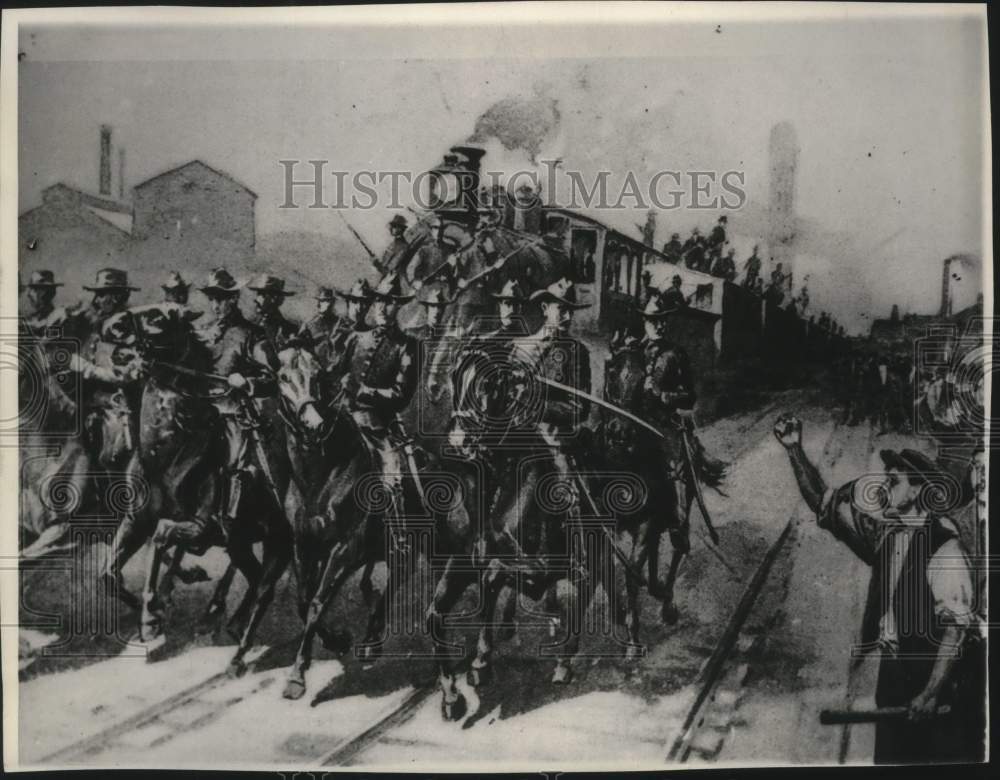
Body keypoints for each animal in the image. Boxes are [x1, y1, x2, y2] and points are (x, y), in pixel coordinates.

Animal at [95, 304, 294, 676]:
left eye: (158, 318)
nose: (111, 324)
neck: (167, 456)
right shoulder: (135, 521)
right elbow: (108, 574)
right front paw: (150, 612)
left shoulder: (201, 528)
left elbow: (161, 537)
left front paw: (152, 619)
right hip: (242, 540)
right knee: (255, 577)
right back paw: (226, 621)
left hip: (266, 538)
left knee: (264, 583)